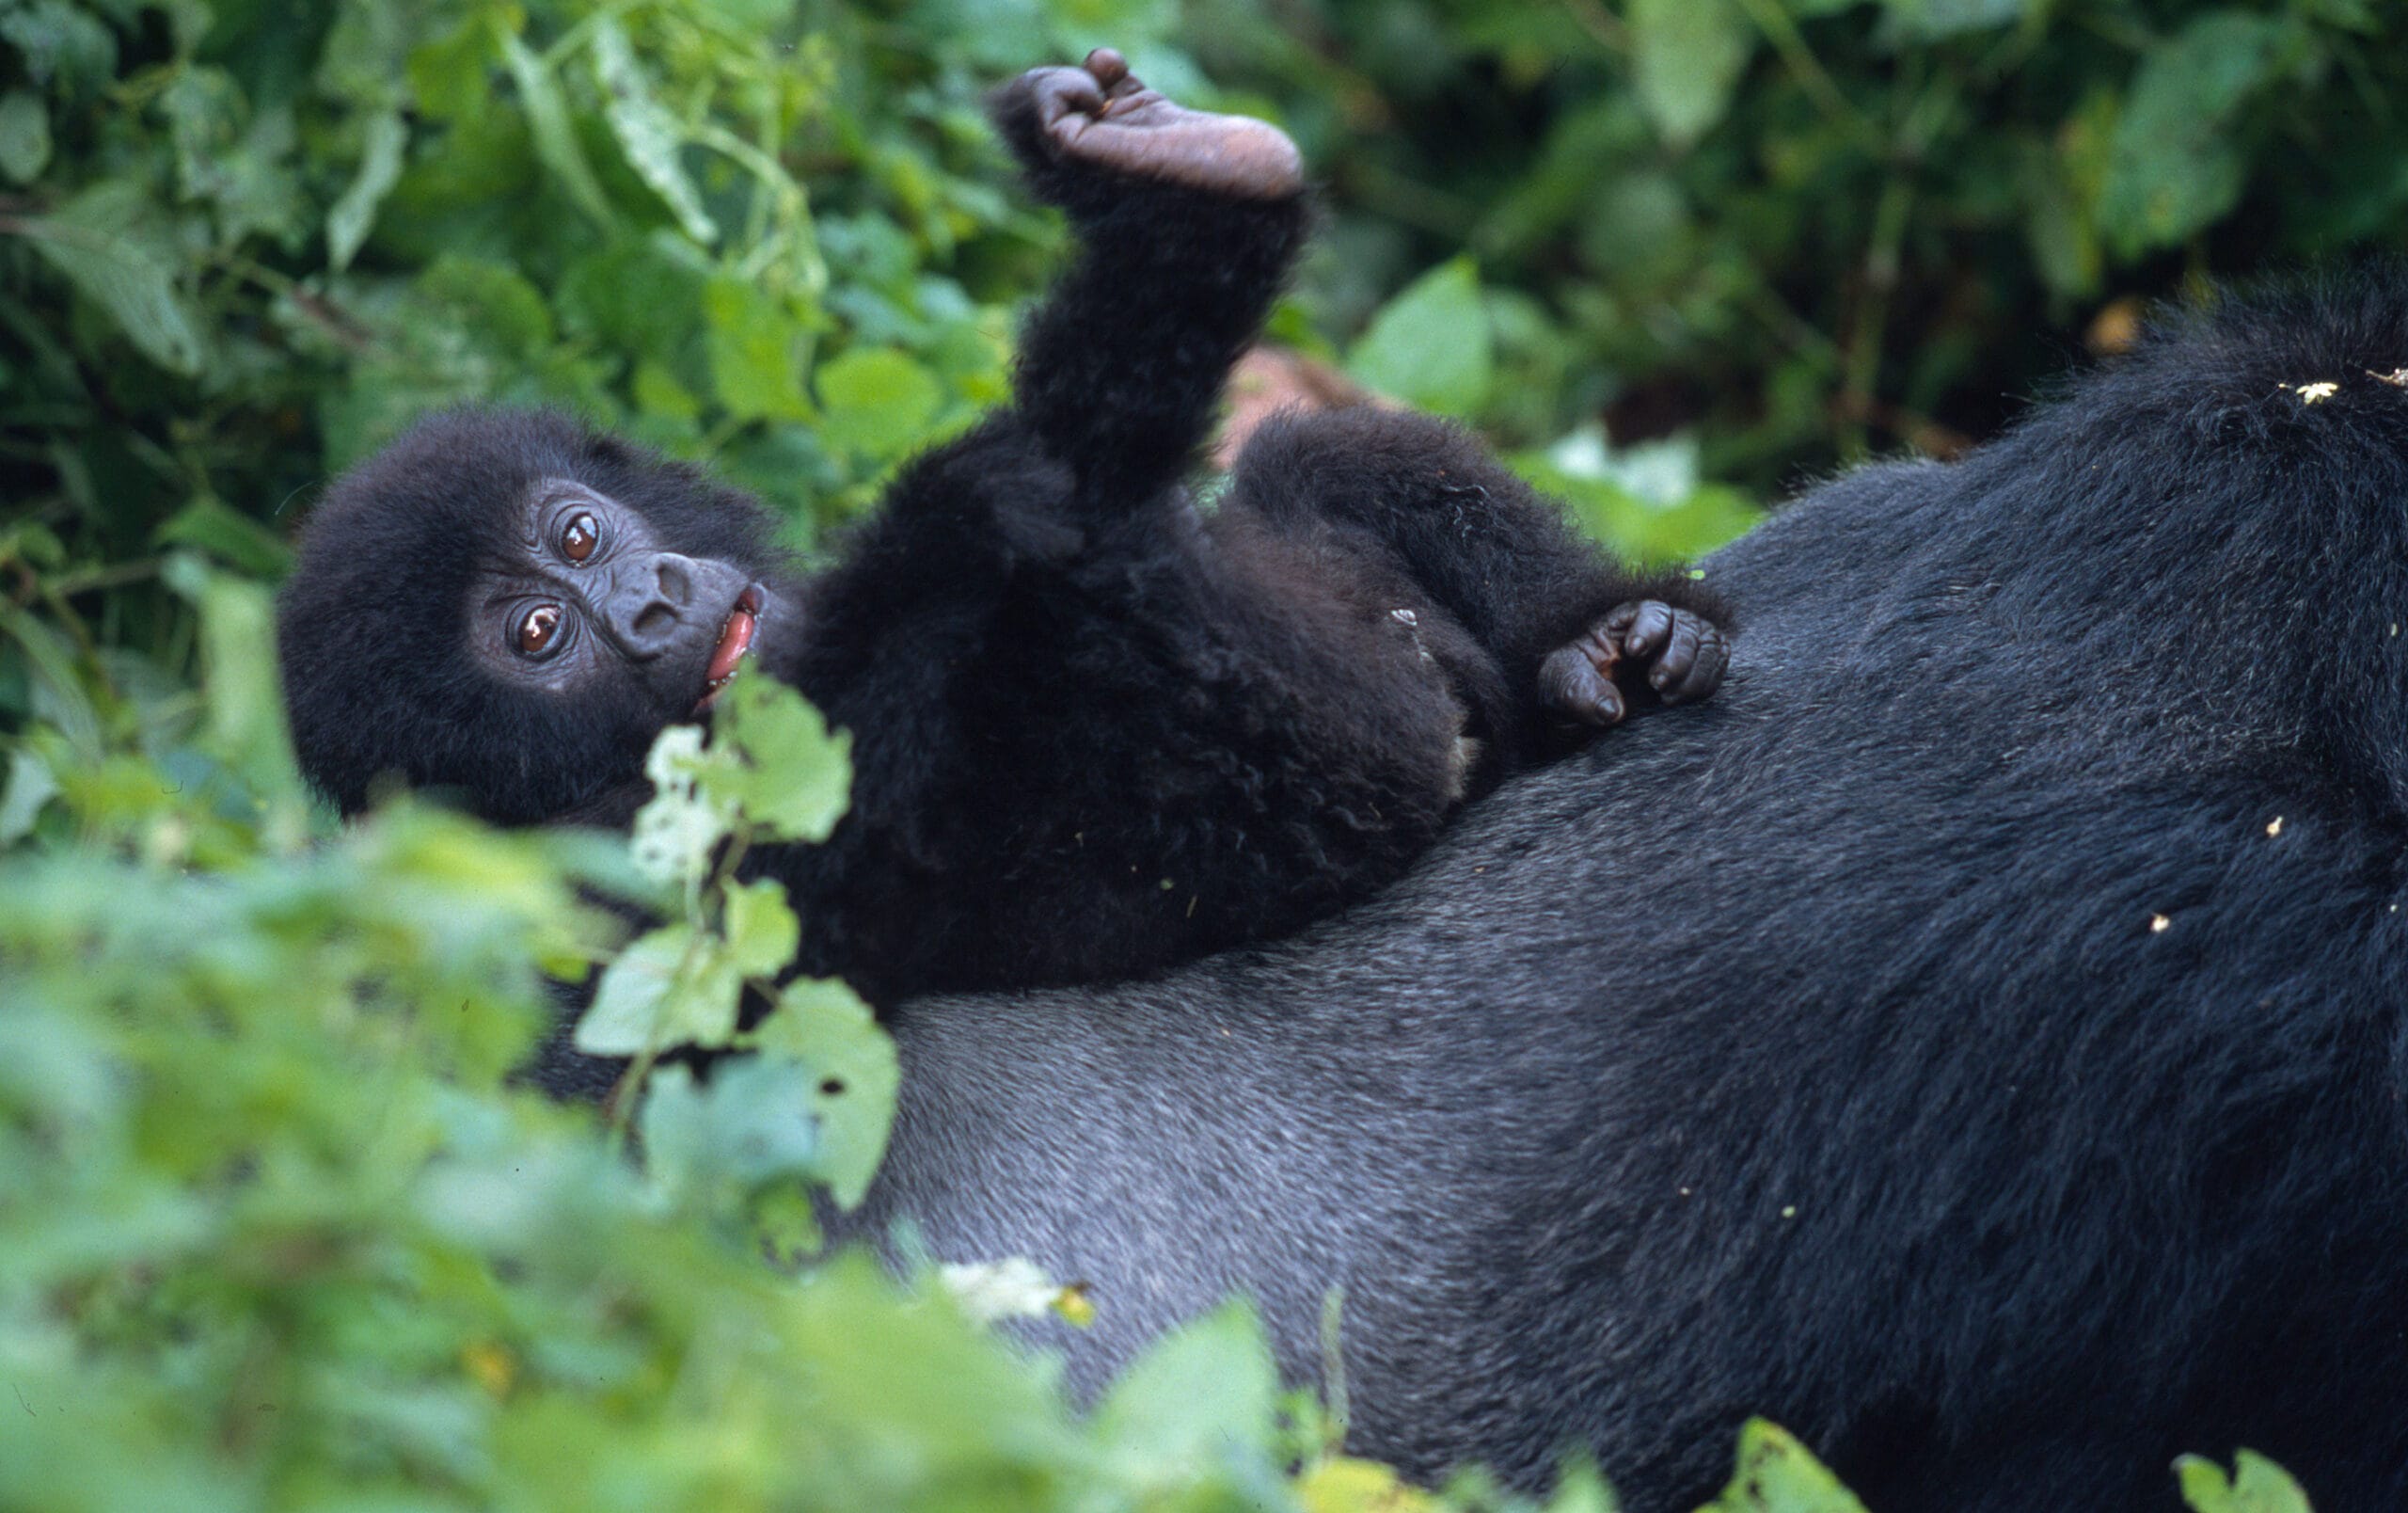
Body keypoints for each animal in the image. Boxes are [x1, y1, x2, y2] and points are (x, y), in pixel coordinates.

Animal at [273, 53, 1723, 1007]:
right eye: (536, 637)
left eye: (575, 541)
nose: (647, 602)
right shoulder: (614, 881)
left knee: (1304, 464)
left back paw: (1608, 640)